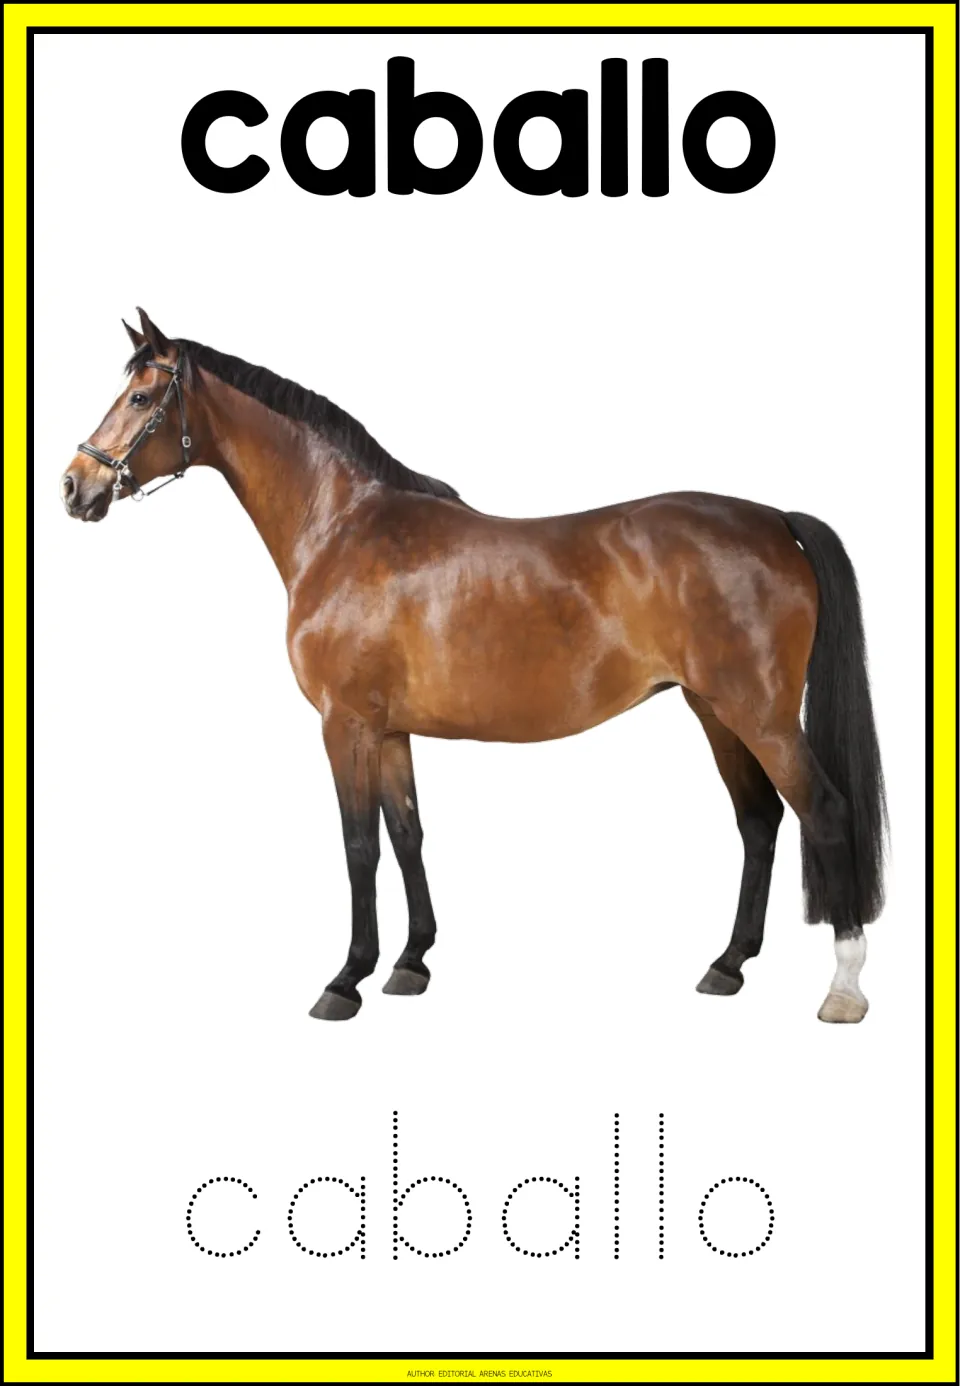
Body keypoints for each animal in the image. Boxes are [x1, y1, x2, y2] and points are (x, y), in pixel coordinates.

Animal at [61, 309, 887, 1023]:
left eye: (140, 397)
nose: (76, 486)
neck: (341, 528)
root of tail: (775, 520)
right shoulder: (389, 730)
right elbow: (407, 834)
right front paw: (411, 964)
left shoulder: (344, 724)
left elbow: (358, 845)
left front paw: (346, 978)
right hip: (714, 710)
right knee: (759, 820)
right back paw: (727, 965)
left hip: (761, 715)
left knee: (824, 810)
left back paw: (843, 988)